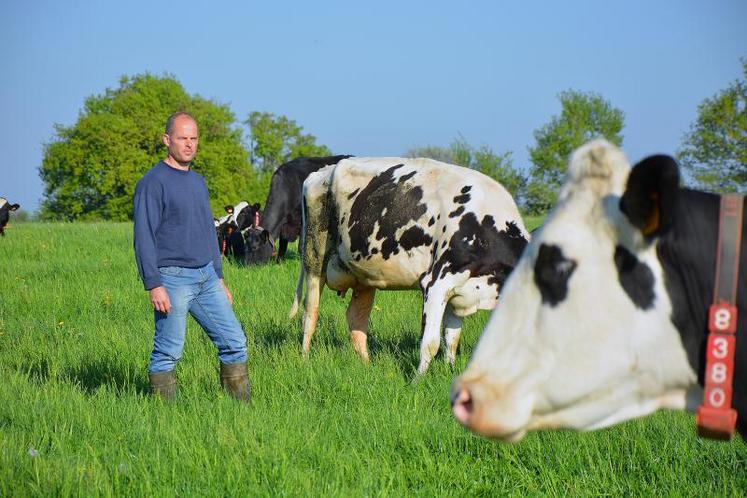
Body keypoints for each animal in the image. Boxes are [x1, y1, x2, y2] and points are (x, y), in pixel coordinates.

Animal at [290, 156, 528, 374]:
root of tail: (321, 172)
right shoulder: (436, 284)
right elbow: (430, 343)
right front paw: (418, 380)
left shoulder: (459, 293)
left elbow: (452, 340)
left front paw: (449, 371)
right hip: (314, 259)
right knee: (310, 313)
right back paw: (304, 359)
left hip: (364, 274)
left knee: (356, 318)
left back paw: (368, 366)